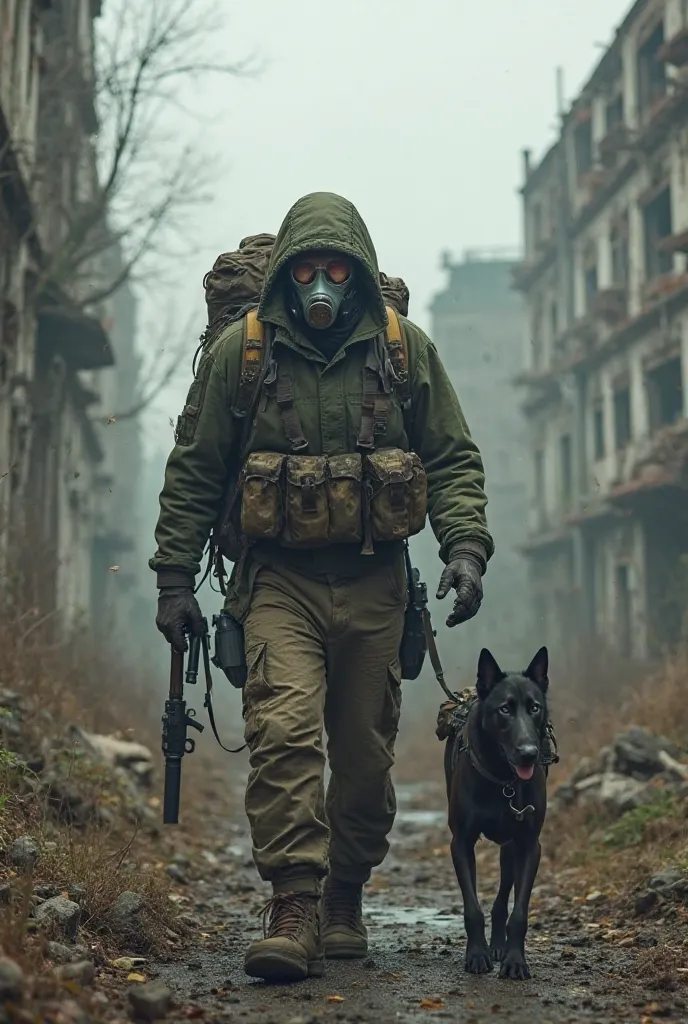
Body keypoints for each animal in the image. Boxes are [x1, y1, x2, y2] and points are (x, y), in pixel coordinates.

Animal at [444, 647, 552, 983]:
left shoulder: (530, 845)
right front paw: (476, 955)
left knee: (503, 897)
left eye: (534, 708)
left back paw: (500, 946)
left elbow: (519, 913)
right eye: (504, 709)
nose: (529, 753)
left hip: (510, 848)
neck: (504, 779)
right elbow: (472, 909)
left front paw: (515, 960)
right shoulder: (461, 843)